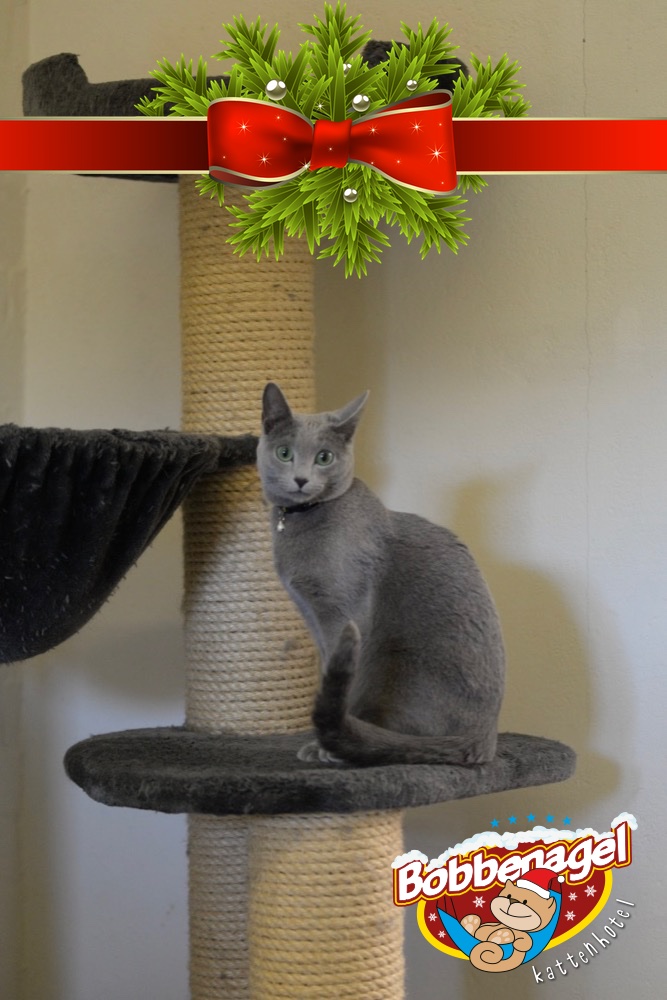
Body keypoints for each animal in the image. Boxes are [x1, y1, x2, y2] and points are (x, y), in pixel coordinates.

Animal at [257, 382, 505, 767]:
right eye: (284, 453)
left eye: (324, 458)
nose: (300, 479)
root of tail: (485, 738)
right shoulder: (311, 613)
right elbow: (327, 669)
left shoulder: (344, 613)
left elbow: (344, 678)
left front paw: (326, 745)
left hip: (398, 661)